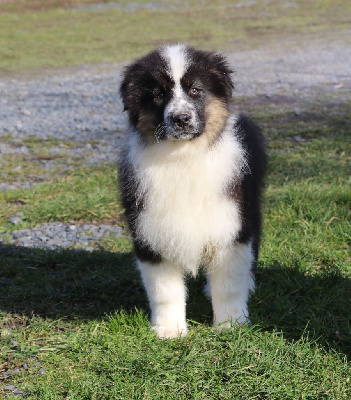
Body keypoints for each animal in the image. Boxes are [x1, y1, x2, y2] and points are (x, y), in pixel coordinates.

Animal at [119, 43, 266, 338]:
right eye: (158, 94)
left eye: (196, 90)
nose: (181, 118)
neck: (183, 156)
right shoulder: (150, 232)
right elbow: (164, 290)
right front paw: (169, 330)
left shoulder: (232, 226)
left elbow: (229, 282)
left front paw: (231, 324)